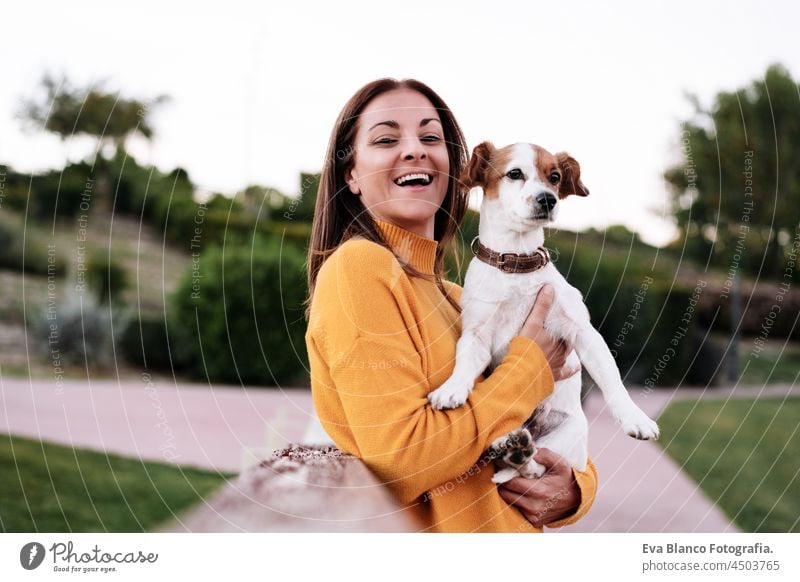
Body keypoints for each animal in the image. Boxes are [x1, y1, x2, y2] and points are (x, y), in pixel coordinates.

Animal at [428, 141, 660, 484]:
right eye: (514, 174)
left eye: (554, 177)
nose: (548, 199)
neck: (516, 263)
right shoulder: (476, 337)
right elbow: (464, 365)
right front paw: (452, 388)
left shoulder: (583, 331)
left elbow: (611, 377)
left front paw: (634, 417)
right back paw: (509, 444)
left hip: (566, 436)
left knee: (535, 468)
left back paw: (520, 451)